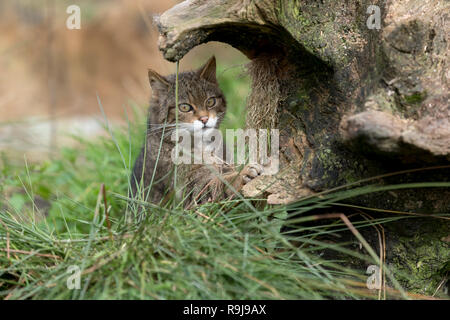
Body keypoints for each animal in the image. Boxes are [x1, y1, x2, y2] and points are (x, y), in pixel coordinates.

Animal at [129, 56, 260, 211]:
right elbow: (219, 184)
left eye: (210, 101)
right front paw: (242, 174)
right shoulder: (190, 191)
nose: (204, 119)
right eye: (185, 107)